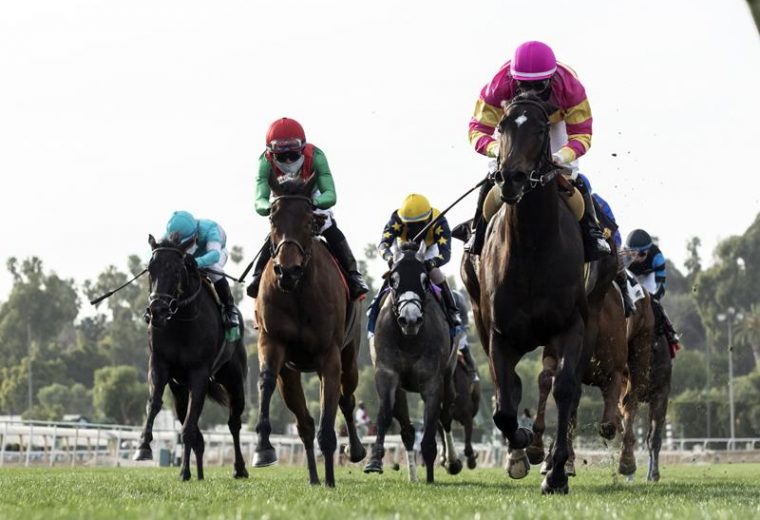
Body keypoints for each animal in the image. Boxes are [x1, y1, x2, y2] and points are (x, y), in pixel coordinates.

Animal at [133, 234, 246, 482]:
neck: (181, 321)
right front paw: (143, 447)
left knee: (233, 423)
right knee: (196, 431)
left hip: (234, 380)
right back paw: (200, 474)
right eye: (150, 268)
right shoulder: (159, 365)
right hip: (180, 390)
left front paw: (184, 471)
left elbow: (188, 428)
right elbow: (154, 404)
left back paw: (240, 468)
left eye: (176, 270)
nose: (157, 310)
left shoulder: (199, 374)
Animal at [252, 175, 366, 488]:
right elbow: (266, 380)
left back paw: (353, 453)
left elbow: (330, 419)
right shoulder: (272, 343)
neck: (298, 292)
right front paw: (263, 449)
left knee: (347, 398)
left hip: (350, 355)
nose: (286, 271)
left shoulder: (329, 355)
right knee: (304, 424)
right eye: (272, 218)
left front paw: (331, 480)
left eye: (308, 221)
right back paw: (314, 478)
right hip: (290, 374)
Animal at [458, 91, 616, 494]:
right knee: (510, 387)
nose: (511, 177)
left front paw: (556, 471)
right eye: (502, 126)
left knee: (564, 387)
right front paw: (523, 444)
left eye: (542, 129)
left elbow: (564, 388)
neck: (530, 247)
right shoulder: (498, 334)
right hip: (479, 315)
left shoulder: (571, 326)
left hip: (591, 315)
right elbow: (503, 404)